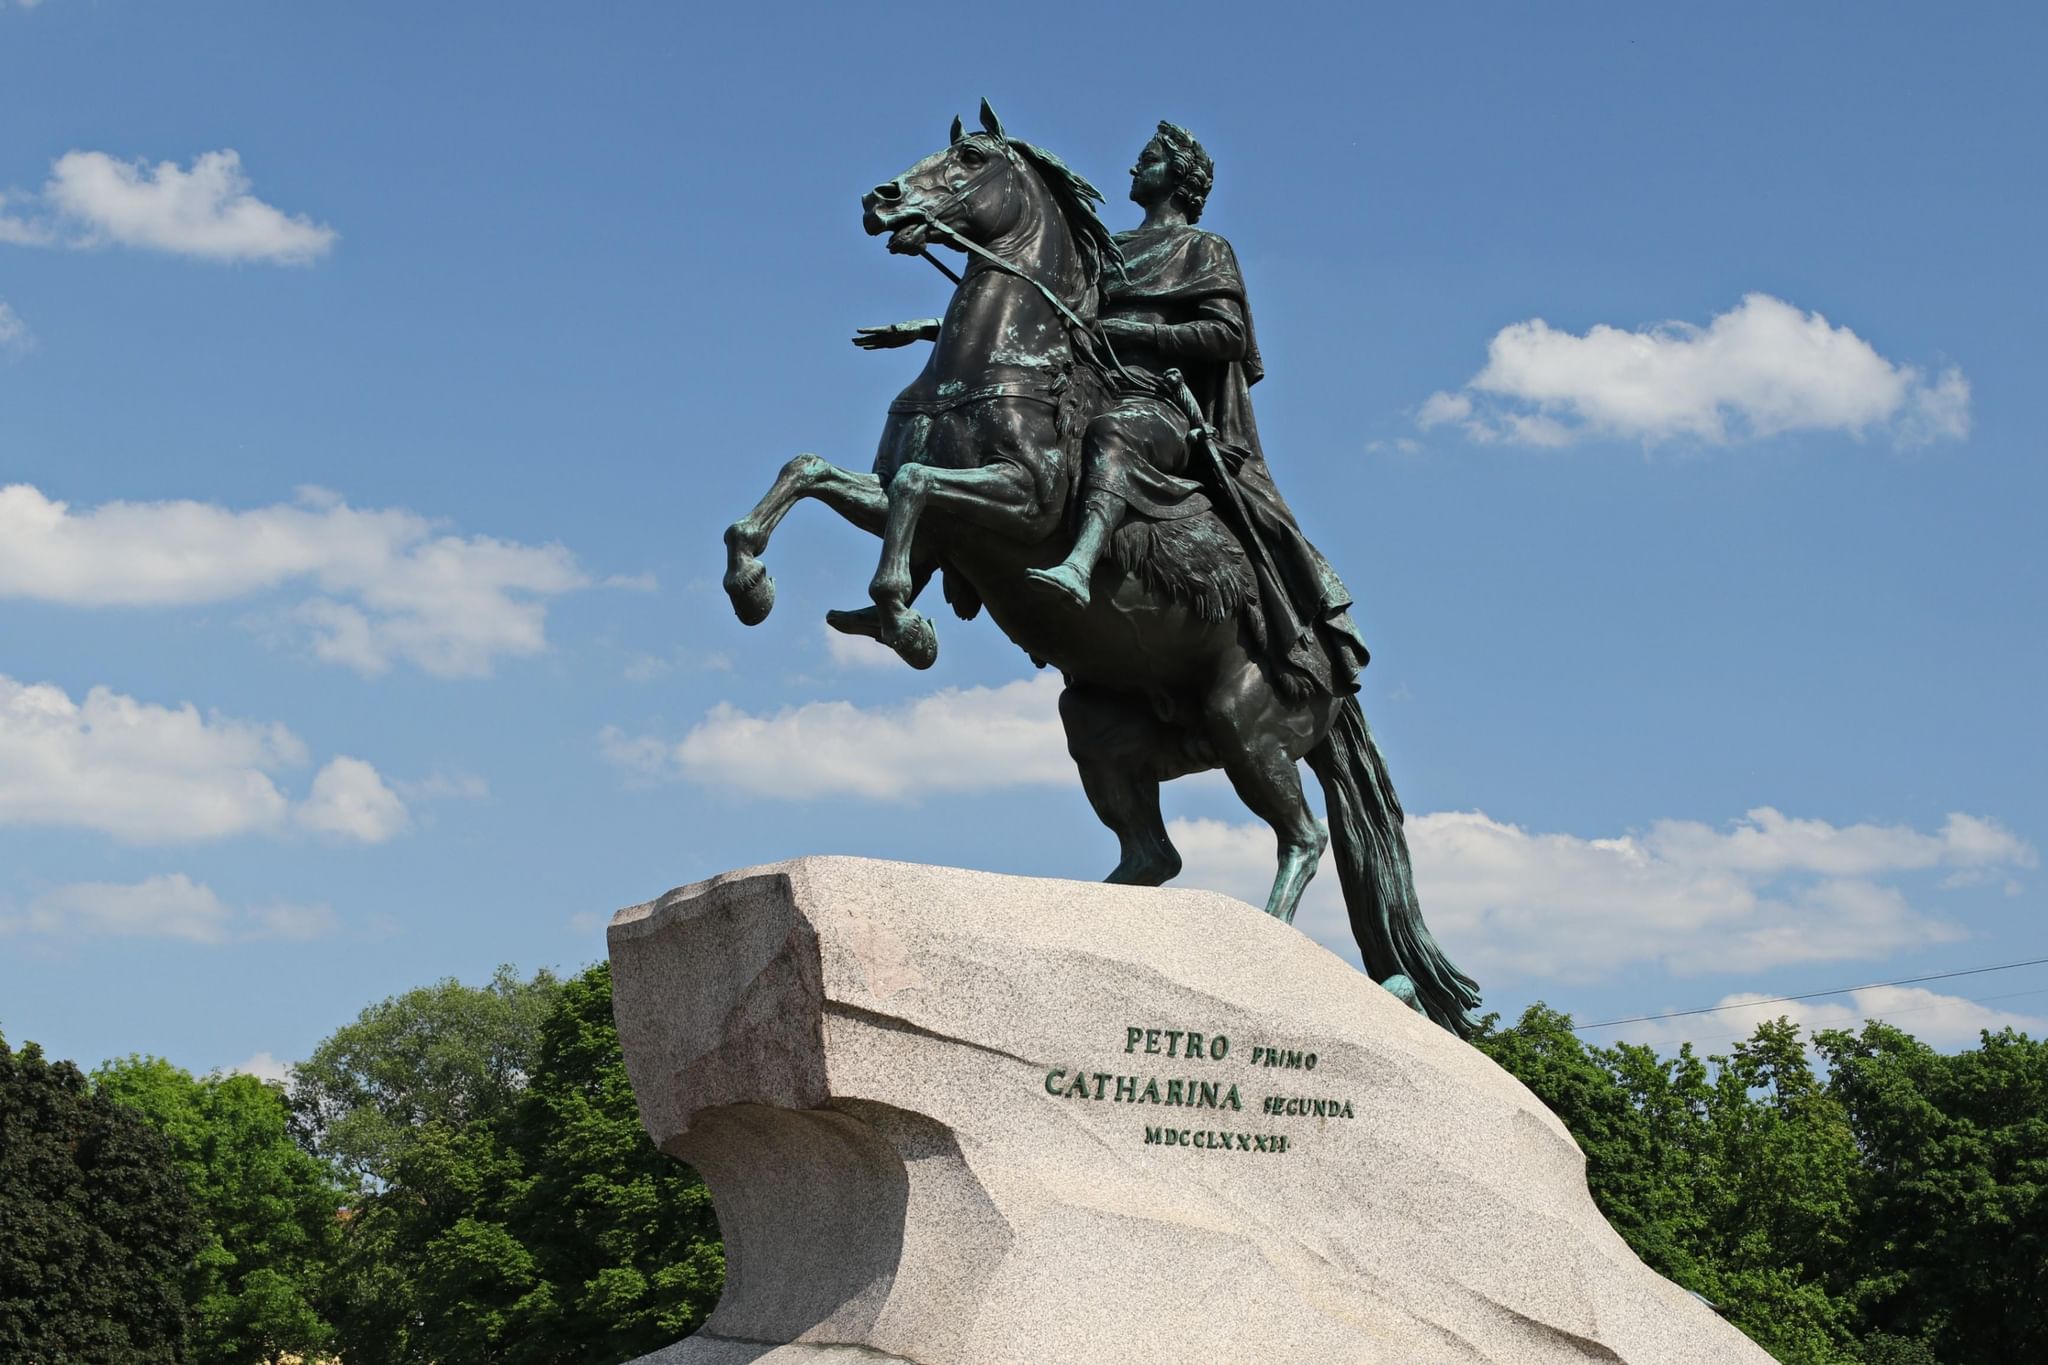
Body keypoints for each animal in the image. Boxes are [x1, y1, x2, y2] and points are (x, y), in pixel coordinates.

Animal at [712, 101, 1482, 1031]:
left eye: (971, 158)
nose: (881, 199)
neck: (1000, 360)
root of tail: (1335, 672)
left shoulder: (1020, 505)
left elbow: (917, 492)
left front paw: (906, 620)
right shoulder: (913, 510)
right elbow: (814, 472)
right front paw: (753, 583)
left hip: (1246, 725)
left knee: (1300, 838)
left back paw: (1266, 950)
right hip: (1101, 728)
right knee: (1155, 856)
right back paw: (1079, 919)